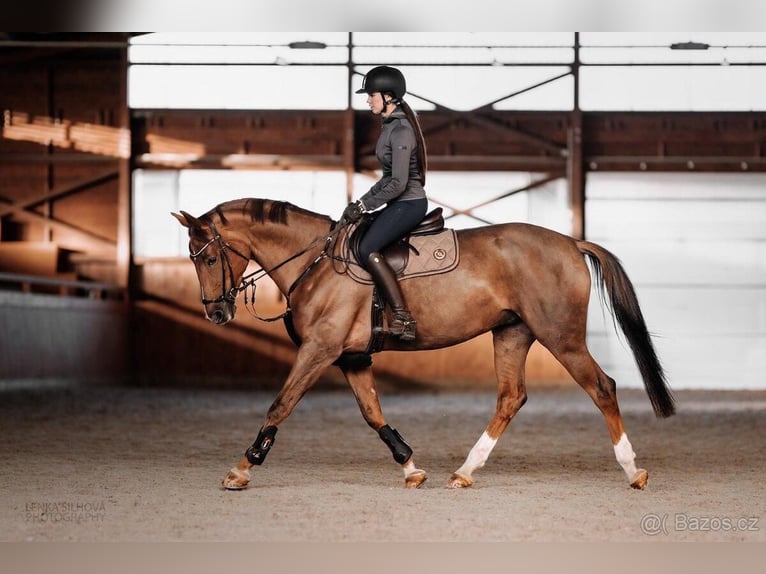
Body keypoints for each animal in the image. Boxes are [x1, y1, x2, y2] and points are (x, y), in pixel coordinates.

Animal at [172, 197, 675, 491]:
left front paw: (242, 468)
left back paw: (633, 470)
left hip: (560, 336)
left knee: (602, 388)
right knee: (511, 397)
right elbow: (372, 413)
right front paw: (410, 466)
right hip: (512, 333)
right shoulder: (351, 357)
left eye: (210, 258)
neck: (316, 261)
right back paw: (466, 471)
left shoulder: (320, 350)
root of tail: (571, 243)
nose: (216, 313)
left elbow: (280, 404)